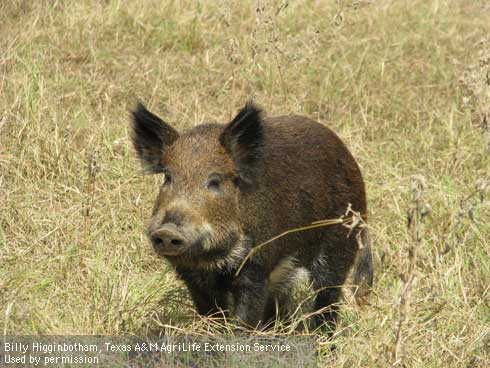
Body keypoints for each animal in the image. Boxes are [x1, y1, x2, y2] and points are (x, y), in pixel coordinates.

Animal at [130, 101, 372, 330]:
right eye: (167, 178)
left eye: (215, 181)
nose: (167, 231)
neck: (212, 260)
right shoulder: (193, 278)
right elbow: (212, 316)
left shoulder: (257, 267)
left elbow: (245, 319)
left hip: (340, 244)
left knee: (328, 298)